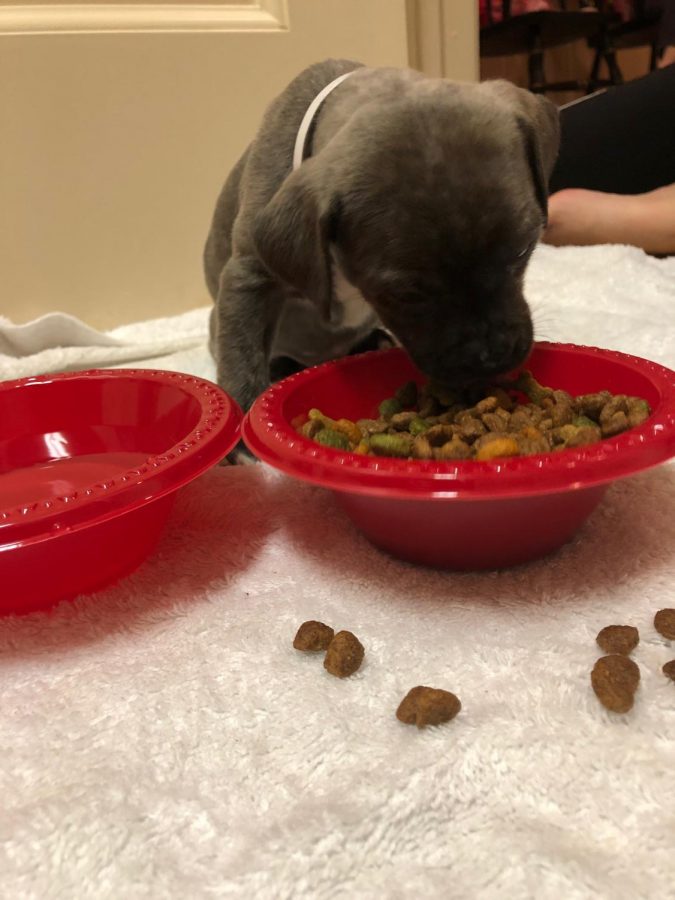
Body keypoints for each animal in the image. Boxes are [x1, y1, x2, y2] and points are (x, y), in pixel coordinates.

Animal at [205, 59, 560, 414]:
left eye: (524, 250)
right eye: (407, 294)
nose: (493, 355)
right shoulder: (248, 278)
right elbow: (242, 360)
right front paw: (245, 411)